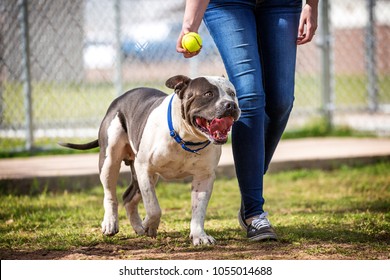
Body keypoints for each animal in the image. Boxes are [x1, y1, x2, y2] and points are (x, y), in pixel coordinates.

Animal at [59, 75, 239, 245]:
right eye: (208, 94)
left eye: (232, 93)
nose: (230, 105)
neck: (186, 138)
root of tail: (119, 99)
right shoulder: (145, 168)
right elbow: (153, 208)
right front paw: (149, 225)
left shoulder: (204, 177)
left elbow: (198, 210)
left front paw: (199, 236)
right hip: (110, 161)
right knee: (110, 194)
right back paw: (111, 223)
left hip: (141, 174)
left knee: (128, 197)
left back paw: (138, 226)